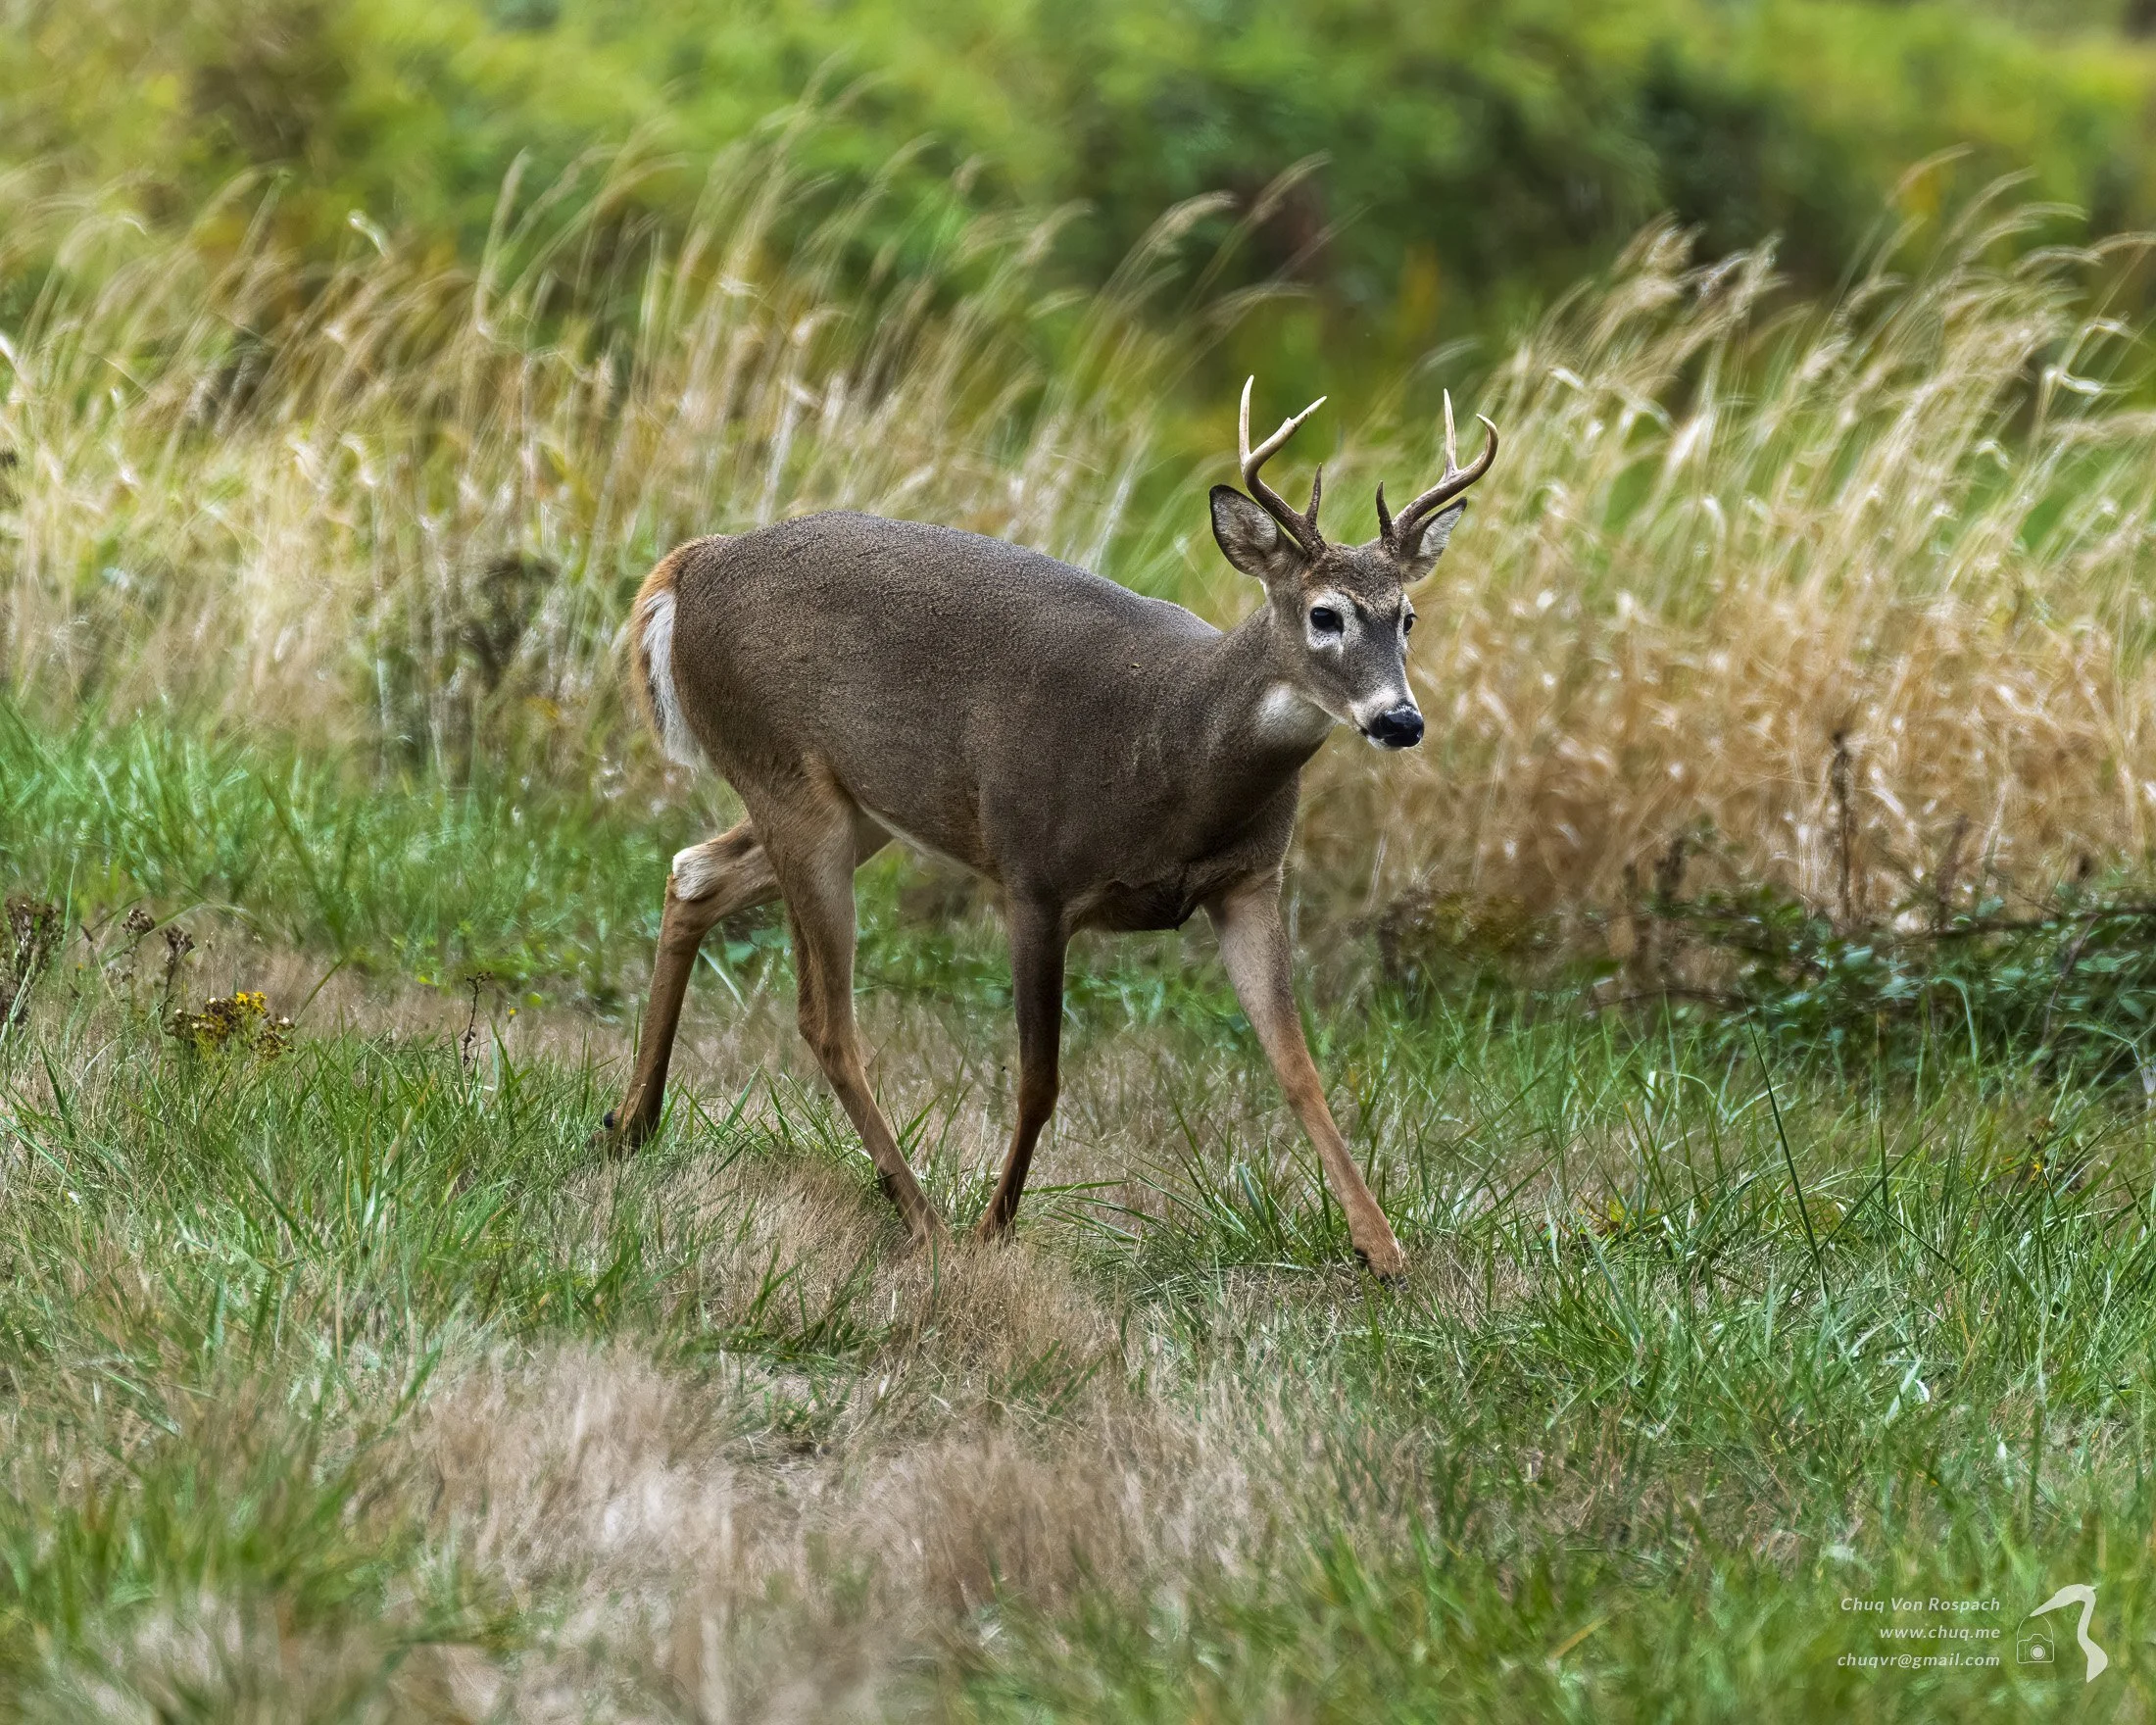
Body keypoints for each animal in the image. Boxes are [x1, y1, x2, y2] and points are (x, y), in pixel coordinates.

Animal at [598, 379, 1498, 1276]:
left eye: (1407, 617)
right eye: (1324, 615)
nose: (1401, 721)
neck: (1171, 749)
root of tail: (692, 565)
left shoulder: (1247, 882)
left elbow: (1298, 1068)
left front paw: (1382, 1250)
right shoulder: (1034, 873)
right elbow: (1039, 1079)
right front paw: (994, 1227)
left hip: (857, 806)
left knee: (696, 873)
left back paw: (631, 1124)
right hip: (788, 778)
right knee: (825, 1017)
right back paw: (923, 1217)